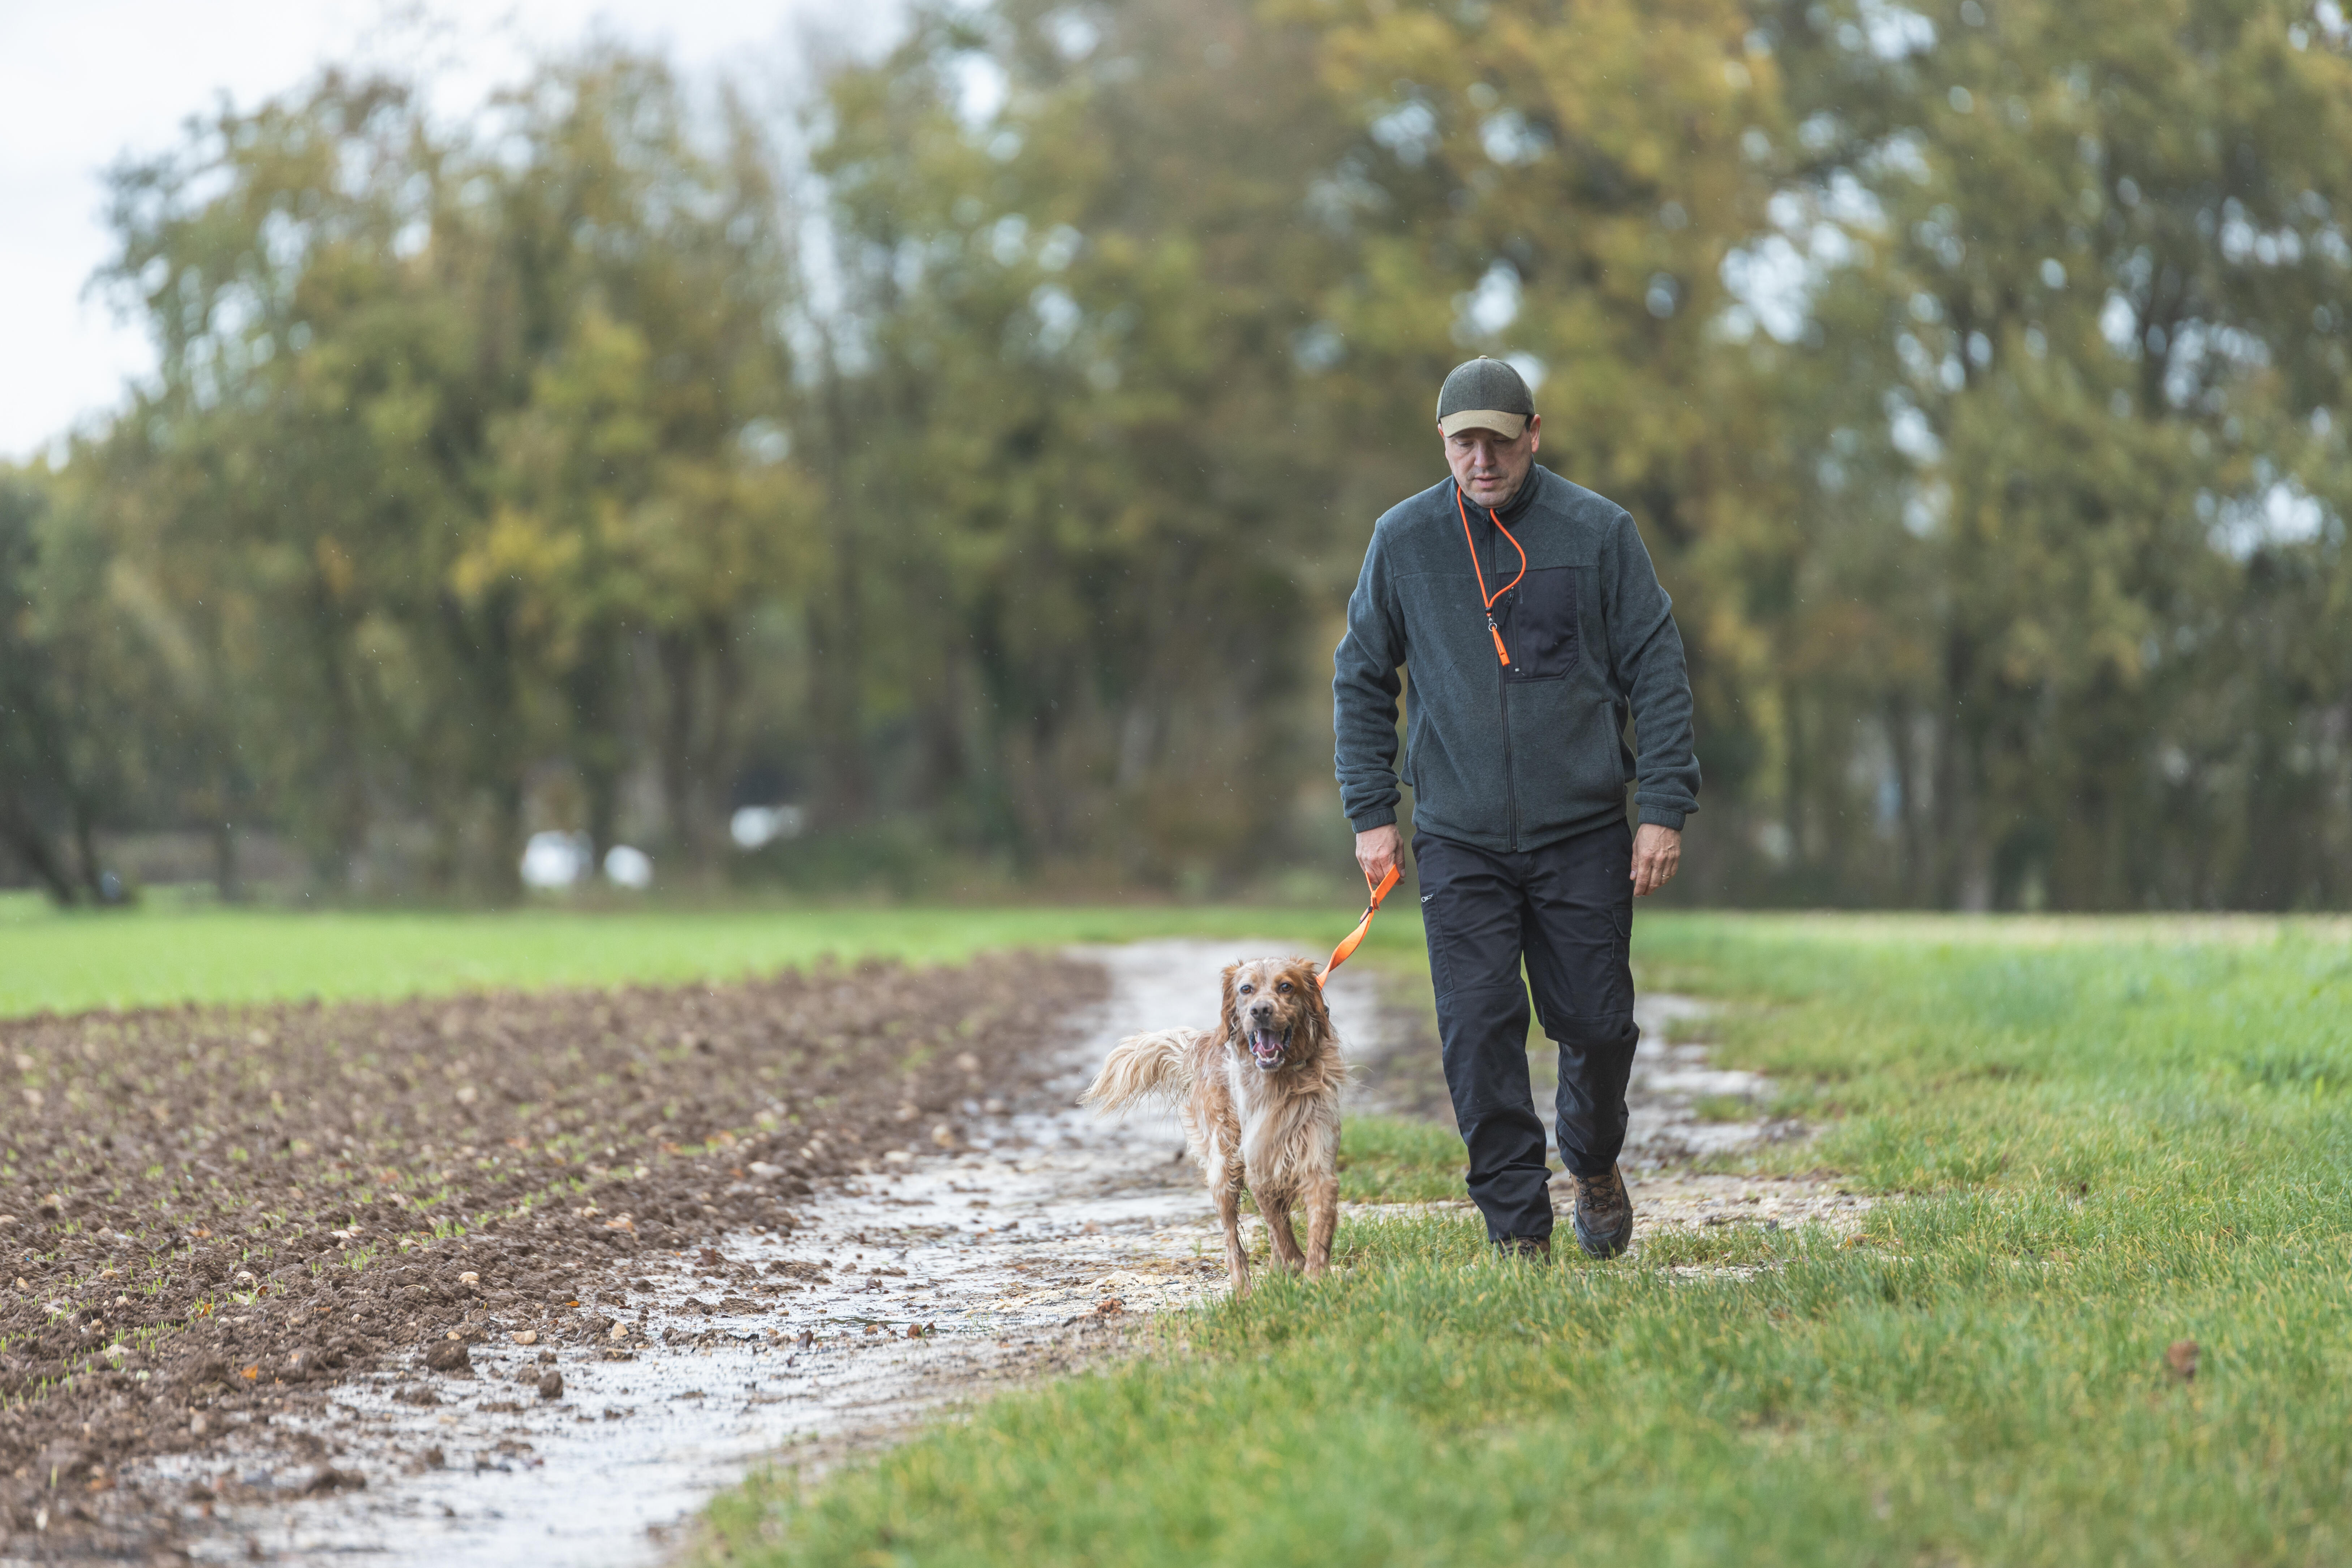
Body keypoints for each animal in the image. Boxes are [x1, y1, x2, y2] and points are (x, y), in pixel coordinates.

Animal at [1077, 964, 1345, 1297]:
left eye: (1286, 986)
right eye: (1246, 989)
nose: (1261, 1010)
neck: (1283, 1083)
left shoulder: (1317, 1166)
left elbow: (1316, 1231)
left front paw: (1315, 1281)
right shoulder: (1258, 1169)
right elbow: (1279, 1230)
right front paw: (1296, 1266)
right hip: (1224, 1171)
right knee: (1233, 1243)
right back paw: (1244, 1295)